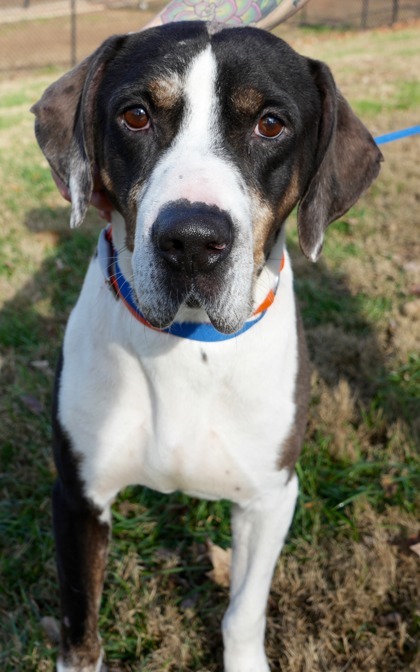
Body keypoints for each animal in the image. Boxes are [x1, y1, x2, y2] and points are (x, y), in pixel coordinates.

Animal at [31, 21, 382, 672]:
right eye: (136, 115)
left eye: (270, 124)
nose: (192, 240)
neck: (189, 342)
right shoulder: (77, 497)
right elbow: (80, 626)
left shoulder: (271, 499)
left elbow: (244, 611)